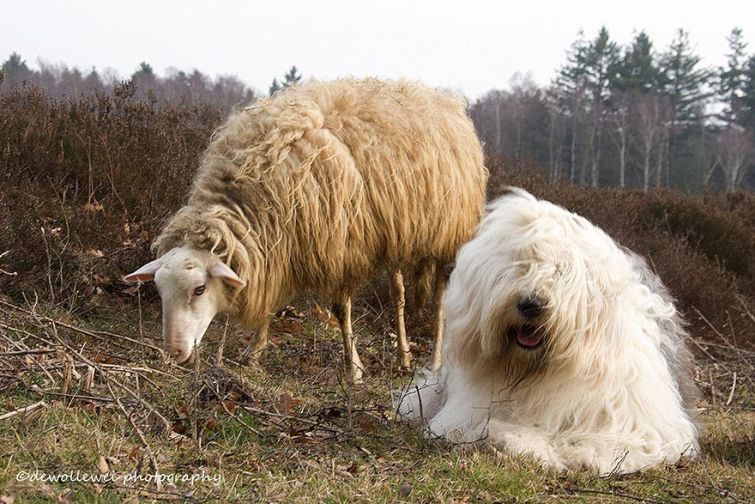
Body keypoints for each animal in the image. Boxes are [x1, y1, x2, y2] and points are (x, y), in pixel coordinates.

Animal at [124, 78, 488, 382]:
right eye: (159, 289)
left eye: (199, 289)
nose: (174, 351)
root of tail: (440, 97)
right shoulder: (276, 245)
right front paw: (254, 353)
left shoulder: (341, 245)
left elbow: (341, 310)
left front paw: (353, 369)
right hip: (398, 231)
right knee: (397, 293)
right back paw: (404, 357)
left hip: (448, 235)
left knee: (441, 300)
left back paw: (436, 362)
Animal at [398, 188, 700, 472]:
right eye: (519, 267)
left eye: (561, 271)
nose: (531, 305)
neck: (537, 372)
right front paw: (522, 442)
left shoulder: (643, 425)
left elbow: (614, 442)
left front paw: (575, 451)